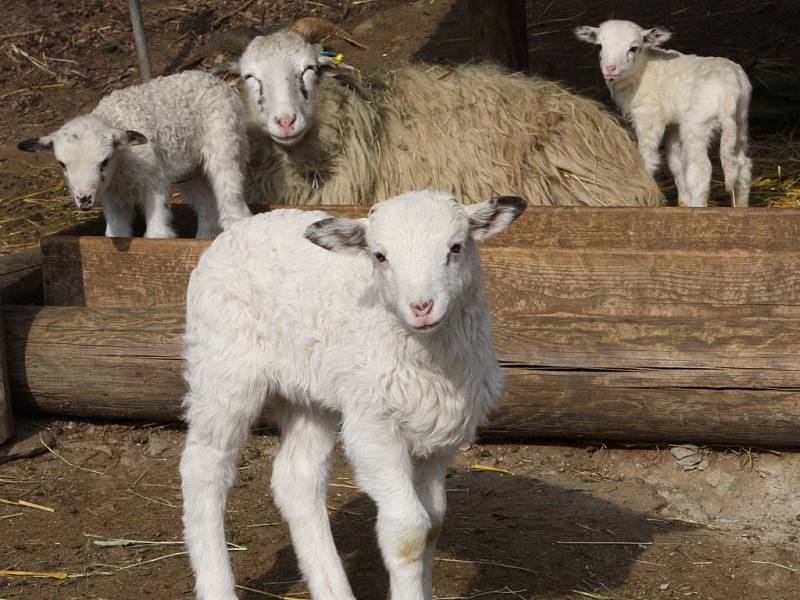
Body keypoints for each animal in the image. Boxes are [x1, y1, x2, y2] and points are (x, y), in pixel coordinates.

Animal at [18, 71, 252, 238]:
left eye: (104, 161)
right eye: (62, 164)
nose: (84, 199)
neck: (121, 164)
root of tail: (220, 81)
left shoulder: (154, 181)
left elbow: (156, 233)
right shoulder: (111, 195)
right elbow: (115, 233)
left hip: (225, 142)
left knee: (230, 194)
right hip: (190, 168)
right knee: (206, 203)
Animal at [182, 189, 532, 600]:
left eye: (456, 247)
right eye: (380, 256)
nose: (422, 307)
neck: (428, 357)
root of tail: (241, 227)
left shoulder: (439, 435)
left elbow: (433, 524)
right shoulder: (374, 426)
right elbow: (408, 532)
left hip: (309, 392)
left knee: (297, 480)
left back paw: (332, 588)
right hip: (224, 364)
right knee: (204, 467)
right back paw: (217, 584)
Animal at [576, 19, 752, 207]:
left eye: (633, 48)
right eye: (600, 46)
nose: (610, 69)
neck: (642, 69)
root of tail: (731, 89)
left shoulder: (649, 117)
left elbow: (647, 157)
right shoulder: (673, 123)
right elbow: (676, 163)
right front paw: (683, 202)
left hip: (697, 122)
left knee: (701, 171)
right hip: (740, 121)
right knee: (743, 167)